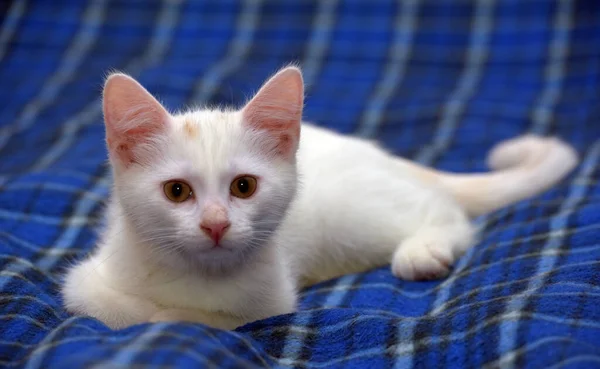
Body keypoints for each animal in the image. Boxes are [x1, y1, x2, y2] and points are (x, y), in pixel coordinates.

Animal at [61, 65, 576, 328]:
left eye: (243, 187)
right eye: (176, 191)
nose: (215, 223)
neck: (198, 276)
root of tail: (384, 156)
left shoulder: (270, 304)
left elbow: (206, 319)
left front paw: (176, 313)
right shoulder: (85, 282)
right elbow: (113, 306)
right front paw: (159, 310)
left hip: (355, 218)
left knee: (443, 210)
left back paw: (423, 249)